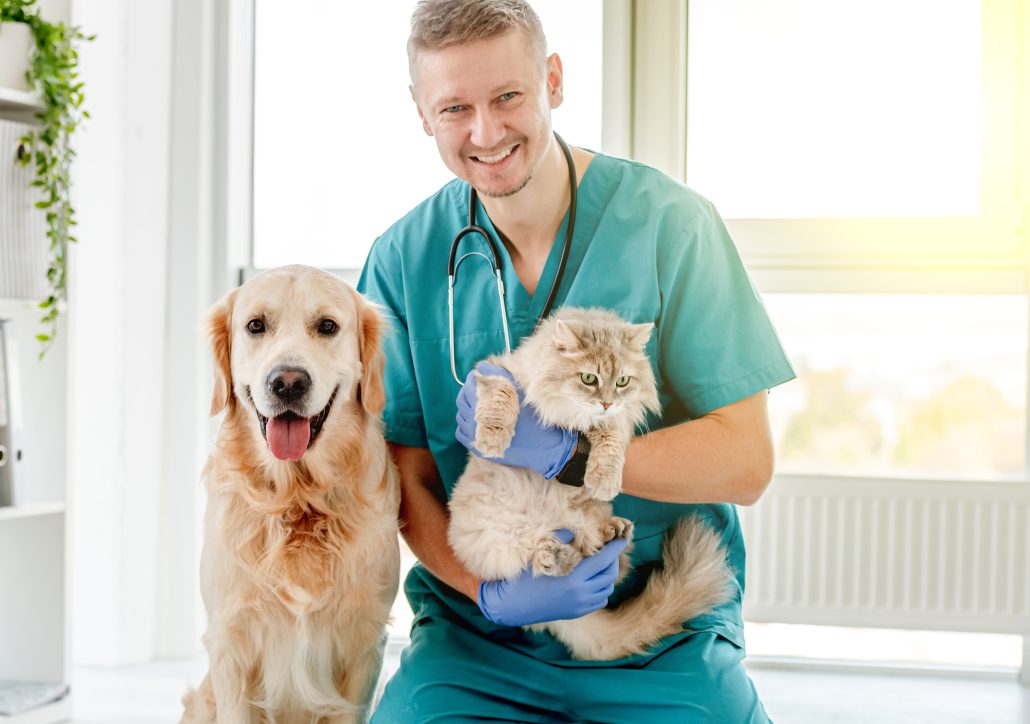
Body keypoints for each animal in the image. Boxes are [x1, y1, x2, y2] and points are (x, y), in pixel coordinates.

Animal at [181, 265, 397, 724]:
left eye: (328, 326)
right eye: (255, 326)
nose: (287, 383)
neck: (298, 499)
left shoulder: (364, 644)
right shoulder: (231, 643)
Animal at [447, 306, 737, 663]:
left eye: (622, 381)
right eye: (589, 379)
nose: (606, 402)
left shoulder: (615, 422)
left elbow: (609, 437)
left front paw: (603, 478)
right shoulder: (494, 370)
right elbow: (502, 394)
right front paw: (492, 439)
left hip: (586, 520)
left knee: (600, 558)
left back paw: (609, 534)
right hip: (502, 539)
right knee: (544, 569)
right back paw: (555, 560)